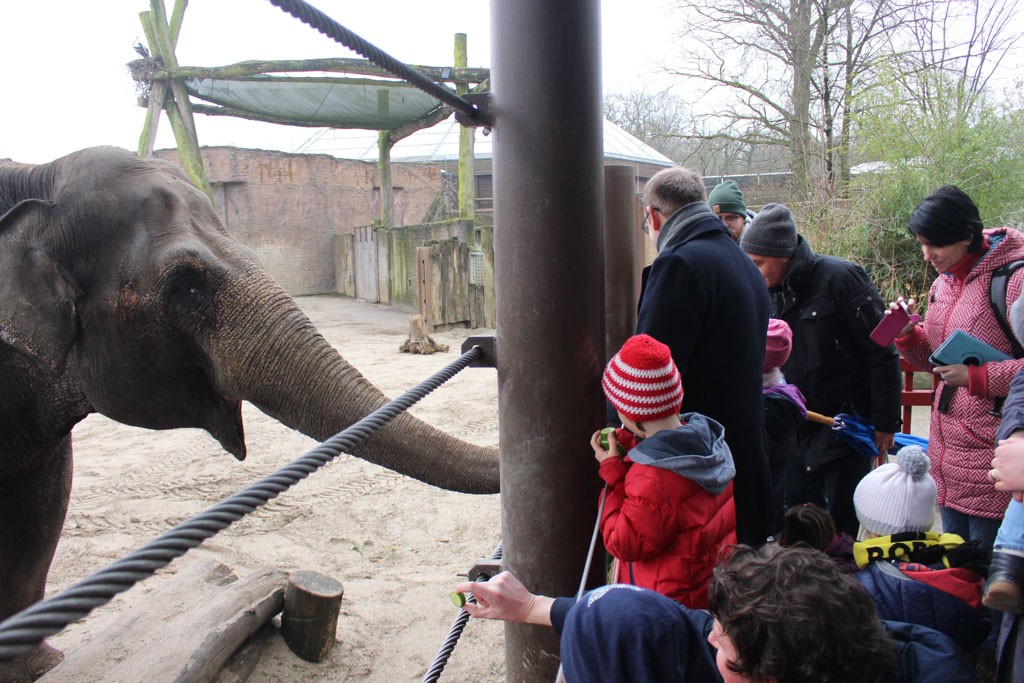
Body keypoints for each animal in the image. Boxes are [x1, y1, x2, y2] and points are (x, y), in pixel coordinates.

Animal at [0, 145, 497, 679]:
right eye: (186, 287)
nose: (474, 577)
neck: (42, 178)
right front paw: (42, 667)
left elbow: (44, 500)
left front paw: (40, 666)